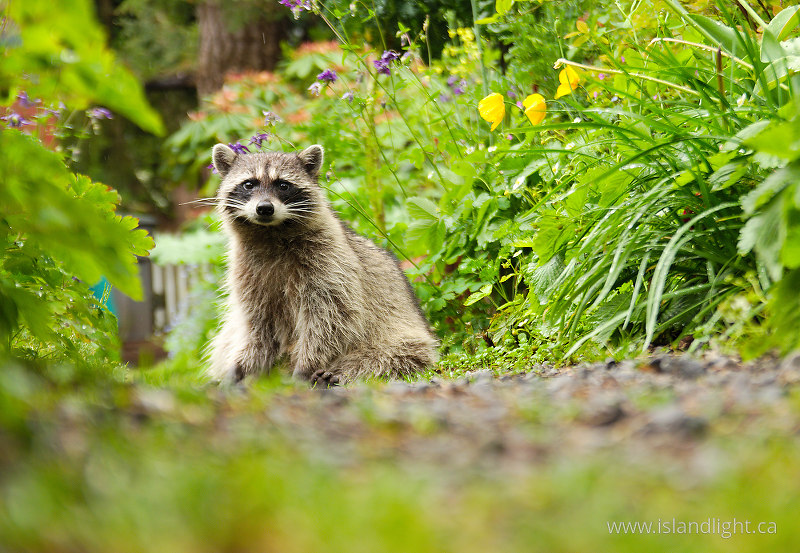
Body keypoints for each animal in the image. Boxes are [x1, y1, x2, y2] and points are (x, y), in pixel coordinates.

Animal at [207, 143, 439, 386]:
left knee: (390, 355)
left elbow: (331, 319)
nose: (264, 208)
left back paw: (340, 371)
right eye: (249, 184)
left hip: (404, 336)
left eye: (283, 185)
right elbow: (257, 326)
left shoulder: (330, 263)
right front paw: (245, 362)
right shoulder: (247, 275)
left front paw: (306, 365)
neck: (270, 233)